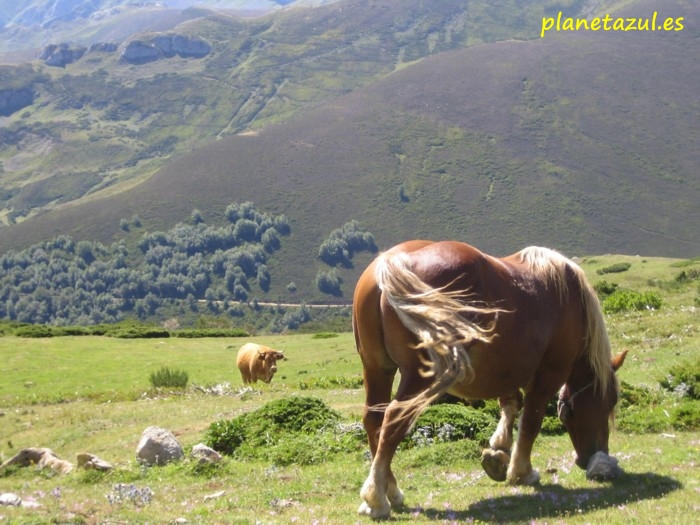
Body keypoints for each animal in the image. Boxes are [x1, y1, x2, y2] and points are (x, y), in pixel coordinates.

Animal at [352, 239, 628, 516]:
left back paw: (391, 492)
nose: (593, 457)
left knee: (374, 420)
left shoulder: (506, 370)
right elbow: (531, 422)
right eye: (610, 402)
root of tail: (391, 261)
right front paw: (522, 471)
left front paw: (498, 451)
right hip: (419, 376)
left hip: (378, 369)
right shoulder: (549, 375)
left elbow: (511, 404)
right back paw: (377, 499)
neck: (570, 298)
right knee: (394, 419)